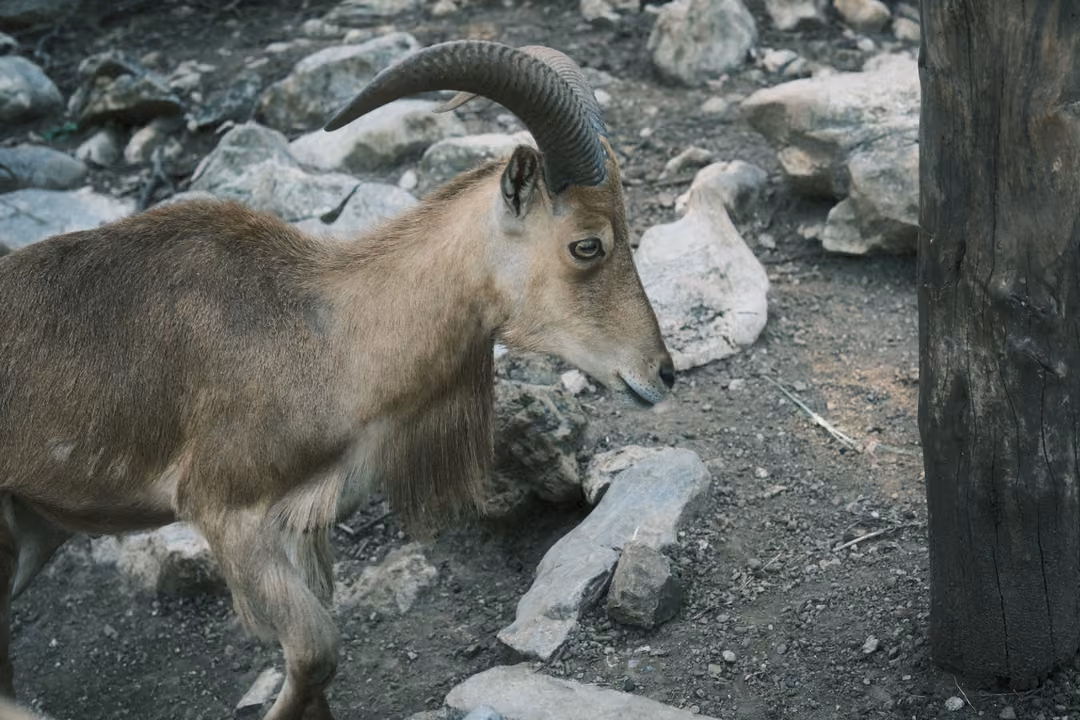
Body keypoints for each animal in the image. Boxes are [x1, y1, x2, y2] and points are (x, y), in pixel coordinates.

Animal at [0, 41, 674, 720]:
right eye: (587, 245)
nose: (661, 373)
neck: (324, 332)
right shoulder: (227, 513)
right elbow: (315, 653)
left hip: (34, 531)